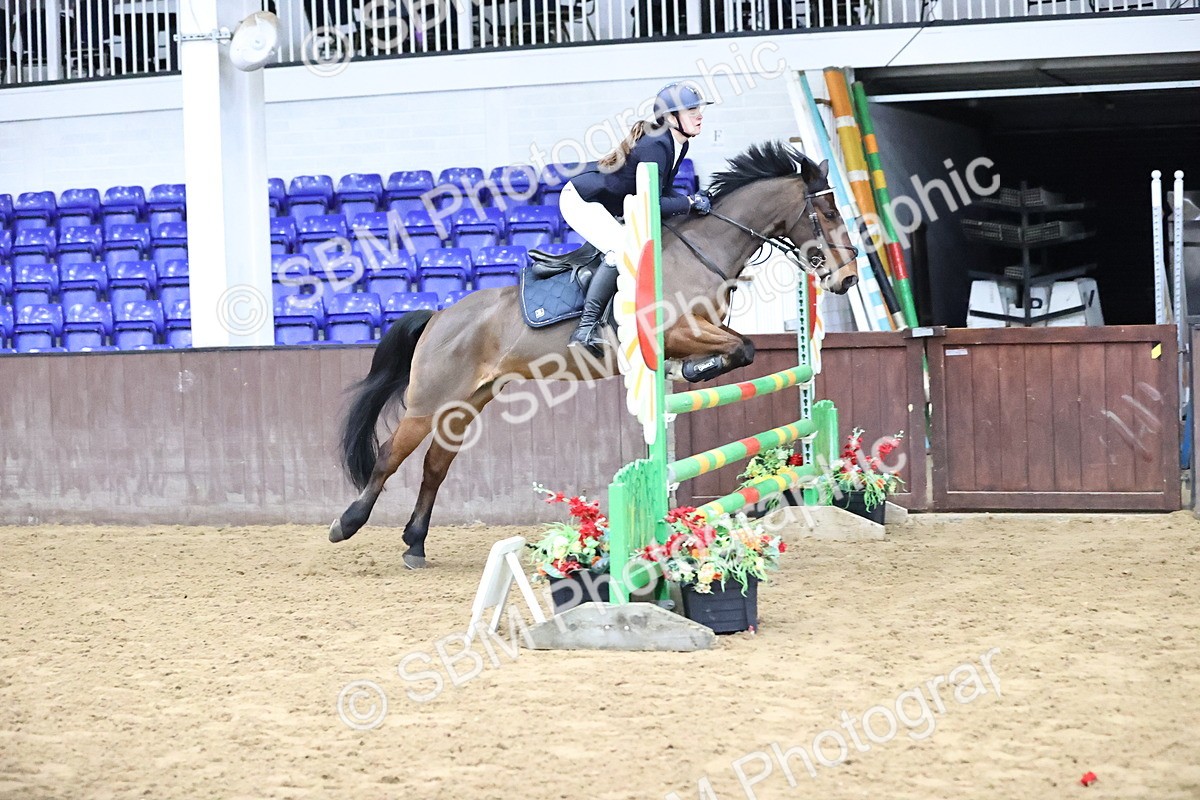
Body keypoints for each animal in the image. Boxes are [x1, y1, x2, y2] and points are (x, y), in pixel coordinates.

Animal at [328, 141, 860, 567]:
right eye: (830, 214)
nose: (847, 278)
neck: (703, 250)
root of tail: (439, 315)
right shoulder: (676, 330)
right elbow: (741, 348)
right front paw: (695, 368)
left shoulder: (704, 326)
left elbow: (742, 348)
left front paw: (694, 370)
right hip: (428, 402)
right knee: (388, 458)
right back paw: (346, 524)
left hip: (466, 403)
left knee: (435, 466)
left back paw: (415, 544)